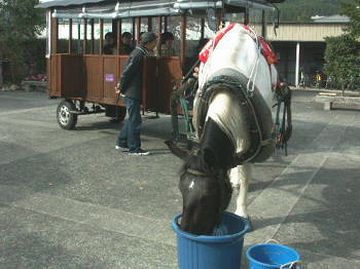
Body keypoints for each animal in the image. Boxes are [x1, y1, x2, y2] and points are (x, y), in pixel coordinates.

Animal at [177, 24, 284, 233]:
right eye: (181, 188)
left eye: (209, 195)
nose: (188, 232)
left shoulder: (251, 137)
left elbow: (245, 172)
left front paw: (242, 213)